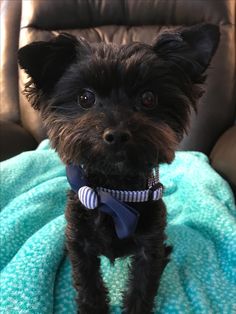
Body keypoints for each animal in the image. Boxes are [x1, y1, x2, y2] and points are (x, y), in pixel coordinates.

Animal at [18, 24, 219, 314]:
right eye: (85, 98)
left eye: (148, 98)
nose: (117, 134)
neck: (114, 191)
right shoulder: (80, 242)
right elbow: (87, 283)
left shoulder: (150, 244)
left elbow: (143, 284)